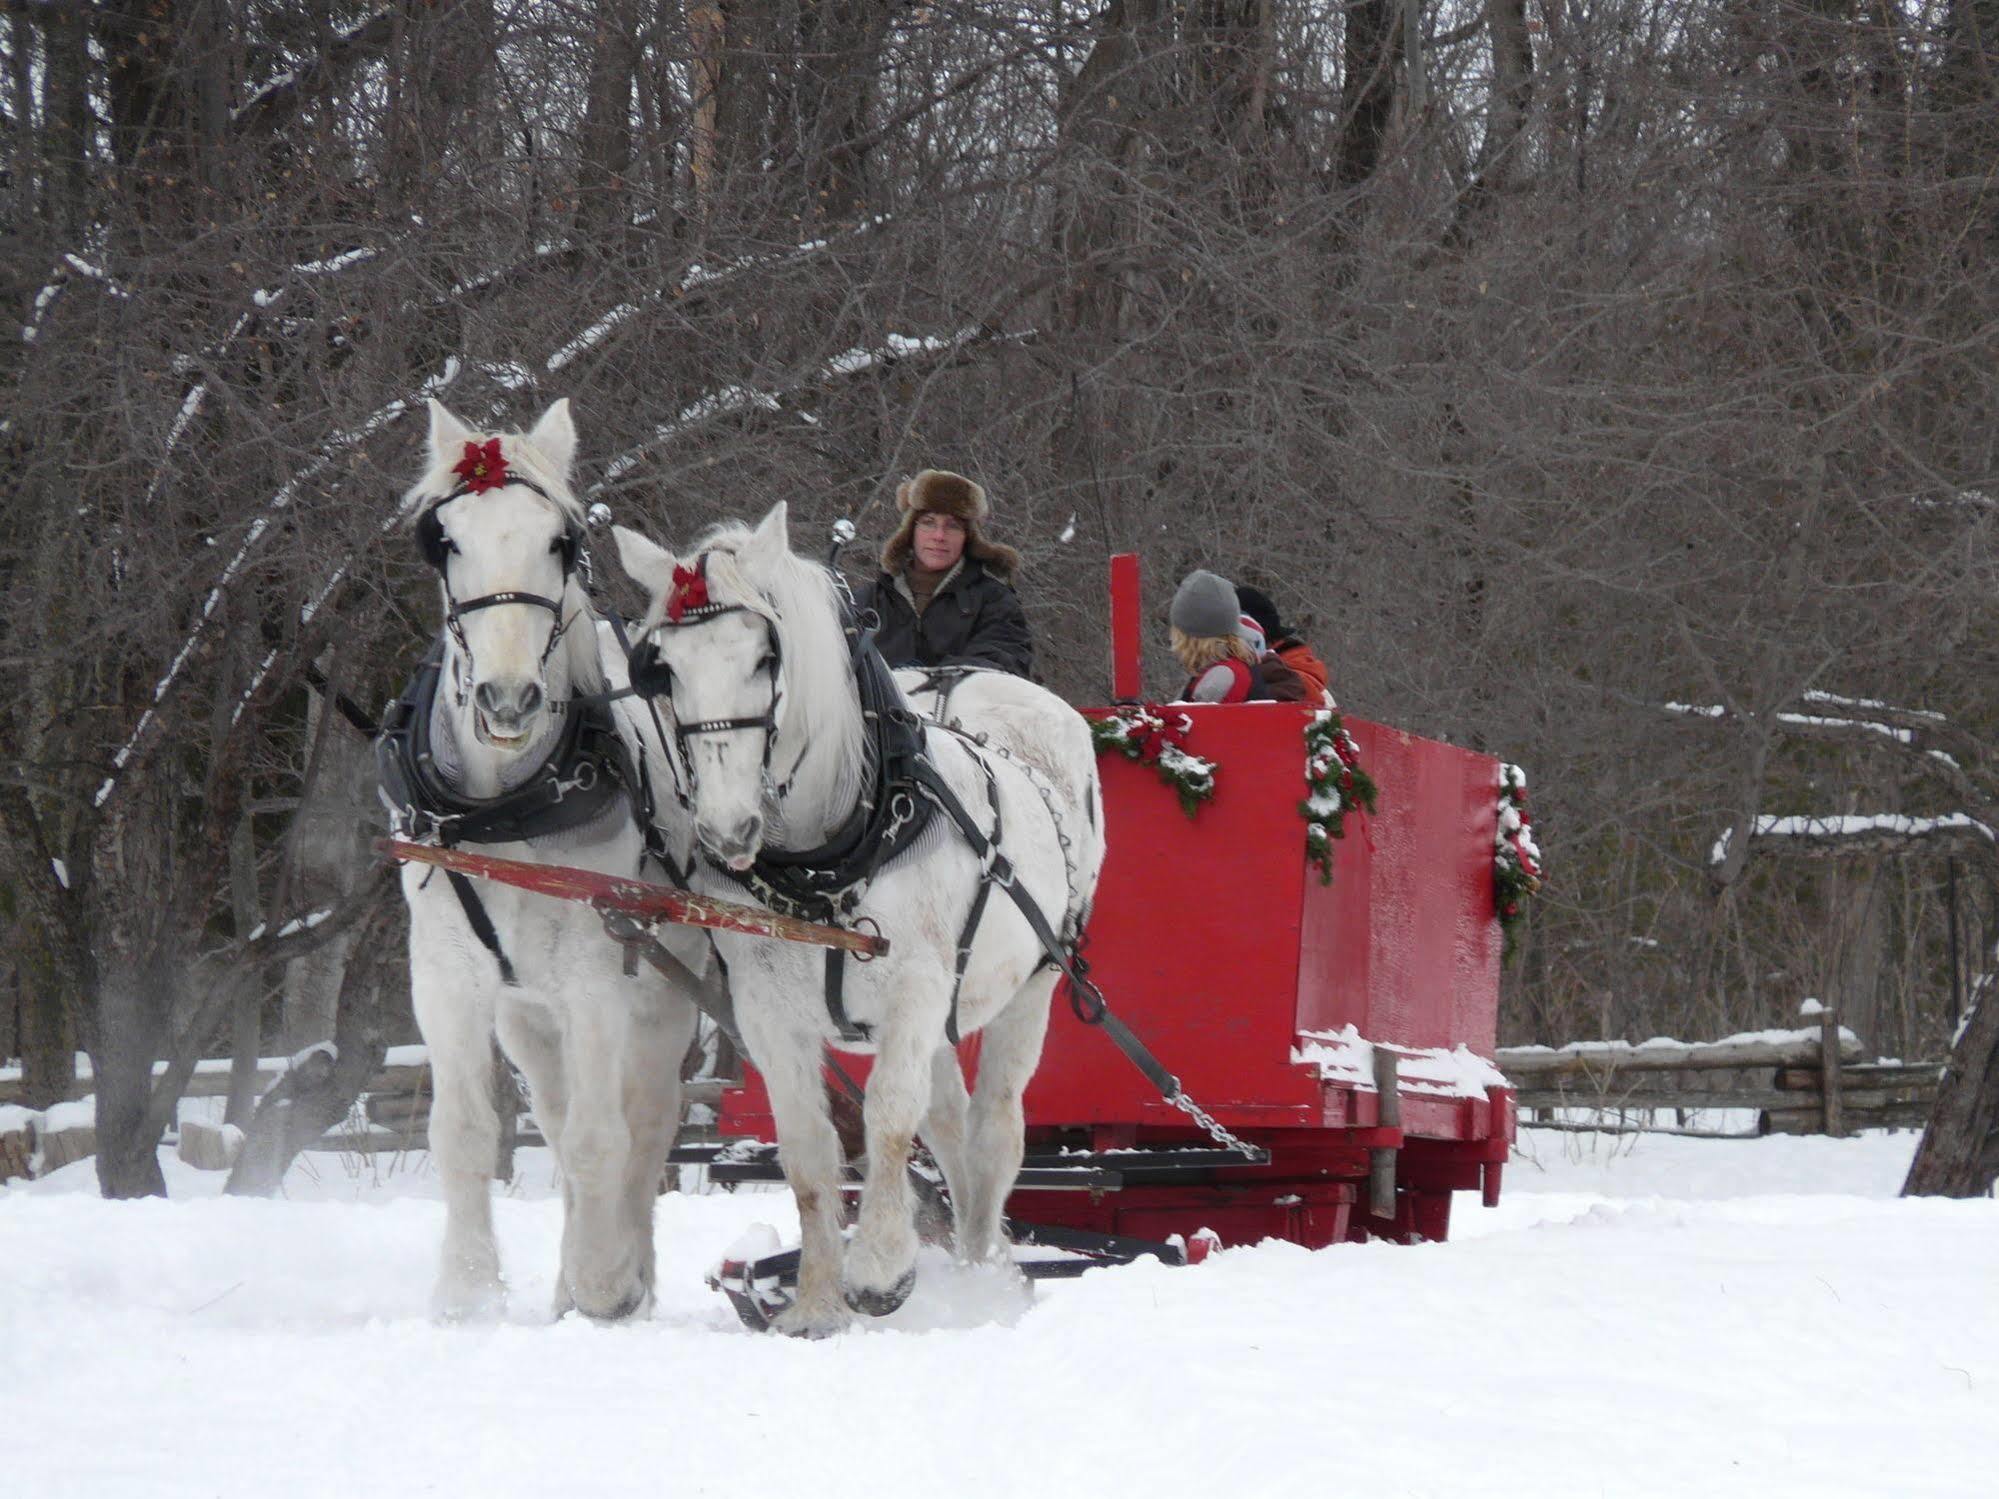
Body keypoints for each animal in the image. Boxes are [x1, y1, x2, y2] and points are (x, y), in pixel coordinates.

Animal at [385, 401, 707, 1327]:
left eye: (560, 542)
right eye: (445, 540)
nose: (506, 699)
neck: (510, 804)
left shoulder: (600, 975)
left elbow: (605, 1138)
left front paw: (604, 1283)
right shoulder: (446, 977)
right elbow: (463, 1134)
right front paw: (464, 1293)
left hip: (663, 989)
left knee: (645, 1120)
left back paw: (624, 1274)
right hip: (528, 1012)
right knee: (560, 1122)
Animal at [611, 505, 1111, 1335]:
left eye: (764, 657)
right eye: (665, 669)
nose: (725, 828)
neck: (826, 859)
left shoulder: (912, 986)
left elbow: (885, 1118)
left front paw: (879, 1271)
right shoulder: (767, 1009)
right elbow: (810, 1148)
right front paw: (816, 1303)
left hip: (1034, 982)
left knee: (992, 1133)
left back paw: (984, 1274)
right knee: (951, 1130)